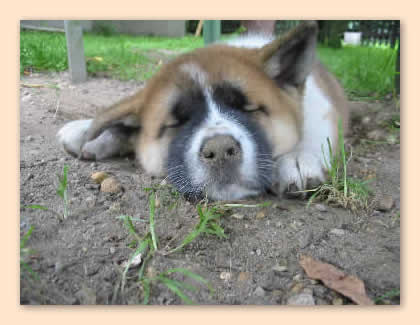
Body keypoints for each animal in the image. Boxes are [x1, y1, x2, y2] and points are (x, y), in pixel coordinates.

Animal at [56, 21, 348, 200]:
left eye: (245, 108)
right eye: (177, 123)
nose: (219, 150)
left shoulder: (322, 106)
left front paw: (296, 160)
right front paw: (89, 131)